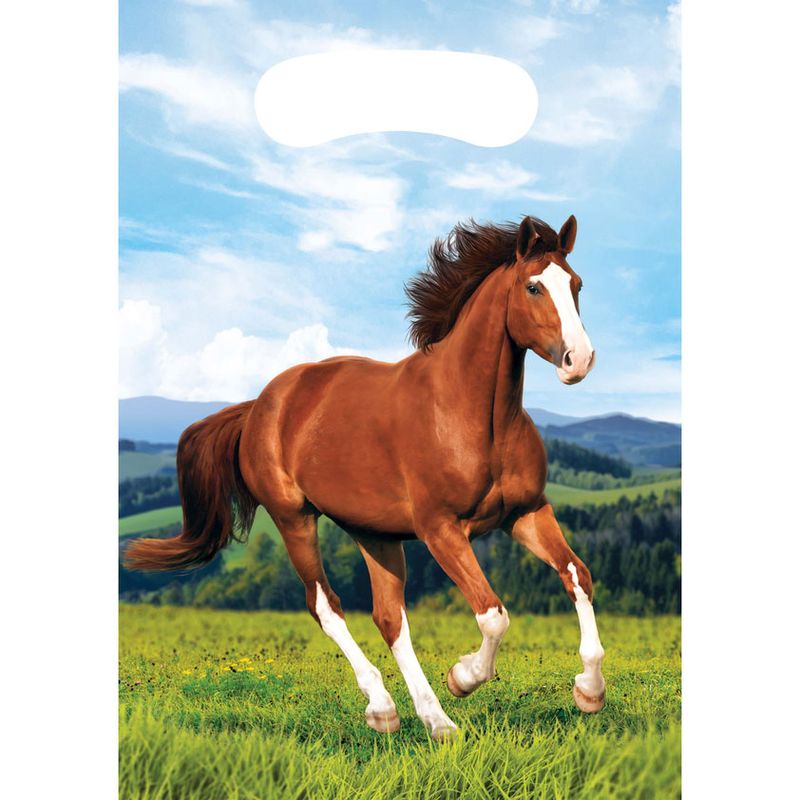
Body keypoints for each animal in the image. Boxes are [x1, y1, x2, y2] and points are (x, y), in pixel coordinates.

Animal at [125, 214, 606, 740]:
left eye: (577, 284)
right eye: (533, 286)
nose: (579, 360)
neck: (469, 413)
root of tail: (259, 407)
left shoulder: (526, 512)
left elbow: (578, 576)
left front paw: (589, 691)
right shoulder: (440, 529)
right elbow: (493, 614)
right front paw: (462, 677)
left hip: (374, 533)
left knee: (389, 618)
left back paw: (432, 720)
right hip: (293, 518)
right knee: (326, 606)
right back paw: (387, 708)